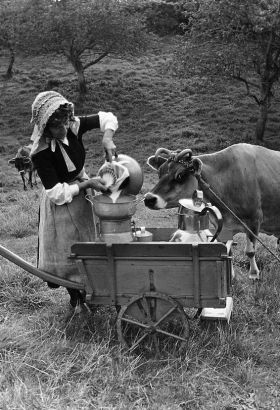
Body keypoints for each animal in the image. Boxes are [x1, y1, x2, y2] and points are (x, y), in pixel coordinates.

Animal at [144, 143, 280, 280]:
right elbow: (227, 249)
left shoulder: (254, 220)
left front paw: (253, 274)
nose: (149, 199)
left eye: (180, 175)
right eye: (159, 173)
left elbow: (250, 251)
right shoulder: (222, 225)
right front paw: (230, 275)